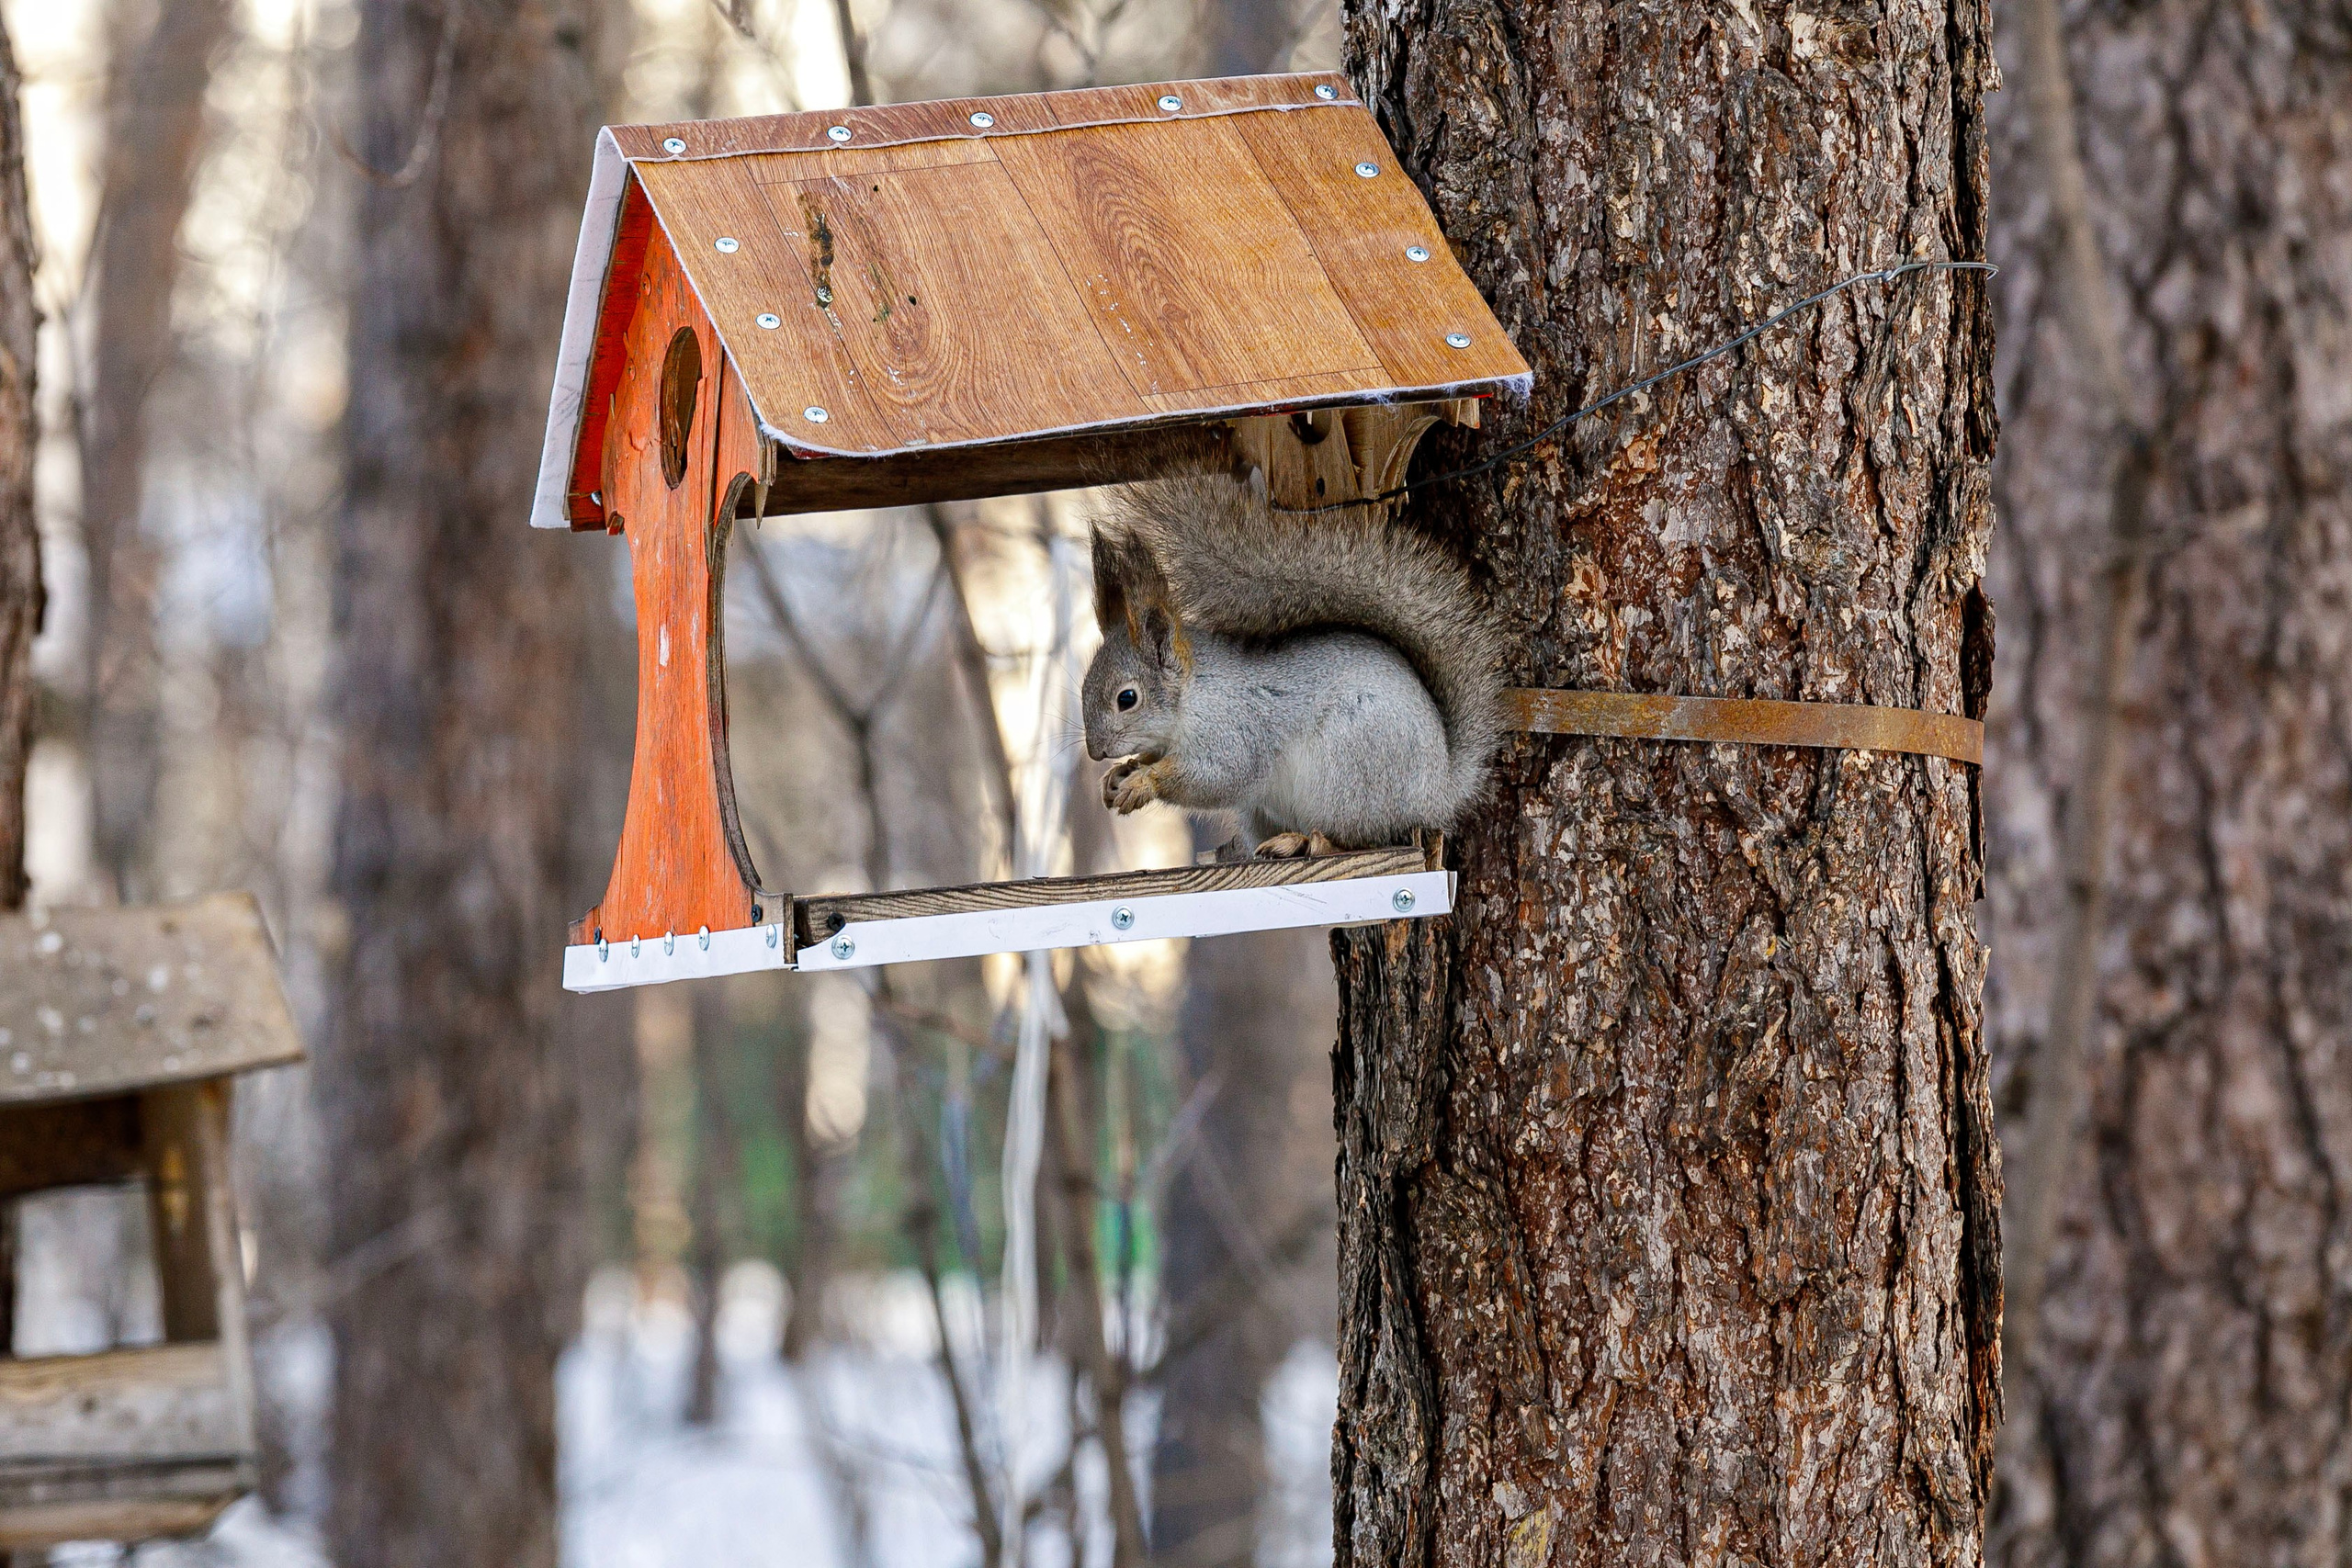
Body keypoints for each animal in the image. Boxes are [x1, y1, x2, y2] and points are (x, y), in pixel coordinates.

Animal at [1080, 474, 1508, 854]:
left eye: (1127, 698)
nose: (1096, 752)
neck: (1193, 693)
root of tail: (1437, 792)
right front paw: (1120, 773)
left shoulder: (1235, 730)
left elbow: (1217, 777)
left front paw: (1143, 782)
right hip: (1260, 811)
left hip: (1349, 774)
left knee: (1355, 838)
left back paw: (1301, 841)